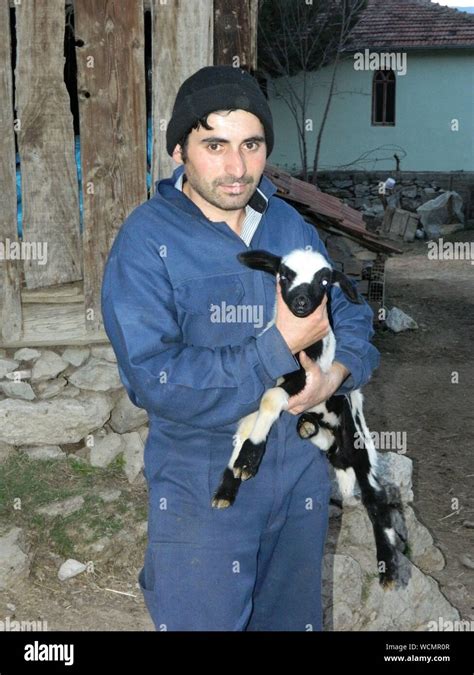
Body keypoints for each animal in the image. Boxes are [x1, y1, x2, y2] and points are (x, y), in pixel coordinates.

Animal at [213, 247, 406, 588]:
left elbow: (270, 400)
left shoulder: (304, 377)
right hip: (331, 438)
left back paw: (388, 569)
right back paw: (308, 432)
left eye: (325, 281)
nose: (302, 302)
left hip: (358, 439)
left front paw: (248, 460)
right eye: (284, 274)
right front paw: (230, 481)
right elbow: (248, 422)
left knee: (375, 496)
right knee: (334, 454)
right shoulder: (265, 374)